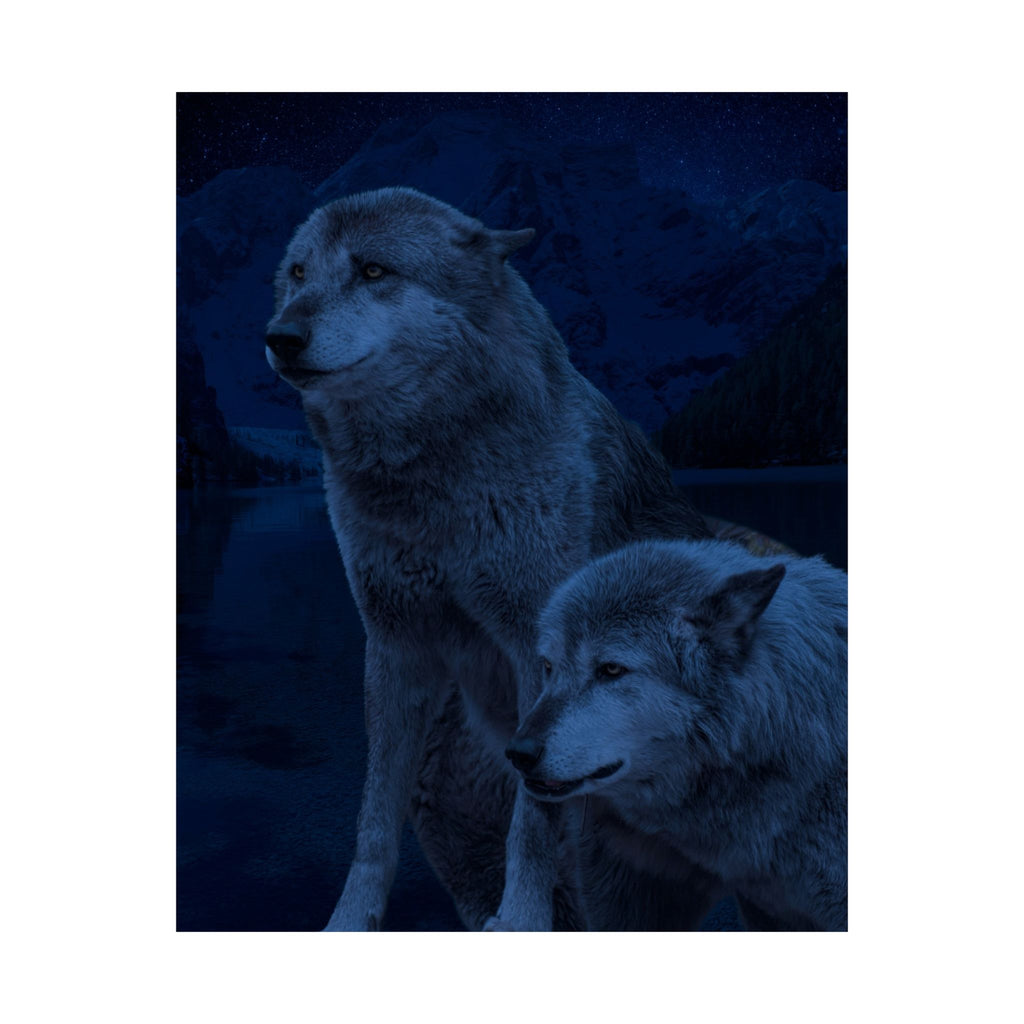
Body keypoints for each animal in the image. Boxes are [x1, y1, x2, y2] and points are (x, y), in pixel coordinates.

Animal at [265, 187, 719, 930]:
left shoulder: (535, 650)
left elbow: (530, 822)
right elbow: (373, 820)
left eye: (373, 271)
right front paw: (348, 922)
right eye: (299, 274)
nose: (280, 337)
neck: (427, 486)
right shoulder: (394, 645)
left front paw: (522, 919)